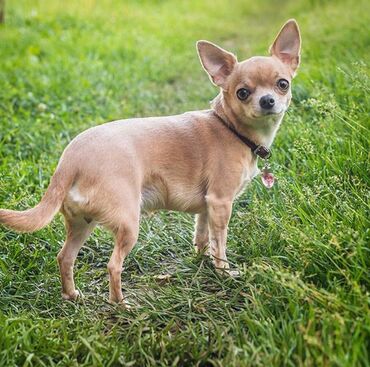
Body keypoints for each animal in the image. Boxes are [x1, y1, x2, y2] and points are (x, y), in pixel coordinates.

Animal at [0, 18, 300, 304]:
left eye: (282, 84)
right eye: (242, 93)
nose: (267, 100)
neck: (230, 127)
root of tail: (69, 159)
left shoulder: (207, 206)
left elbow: (203, 237)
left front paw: (202, 261)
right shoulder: (220, 202)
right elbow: (220, 244)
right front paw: (224, 272)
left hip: (82, 223)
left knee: (65, 257)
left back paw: (72, 295)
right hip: (128, 223)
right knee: (113, 266)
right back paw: (120, 305)